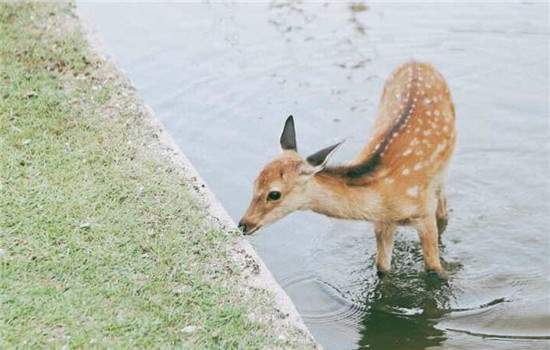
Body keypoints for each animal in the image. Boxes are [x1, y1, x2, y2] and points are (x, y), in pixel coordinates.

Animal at [239, 61, 460, 278]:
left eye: (274, 194)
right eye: (254, 182)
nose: (243, 224)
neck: (384, 196)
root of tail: (417, 62)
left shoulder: (424, 214)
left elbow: (435, 269)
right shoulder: (382, 223)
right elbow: (381, 268)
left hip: (443, 172)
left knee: (443, 208)